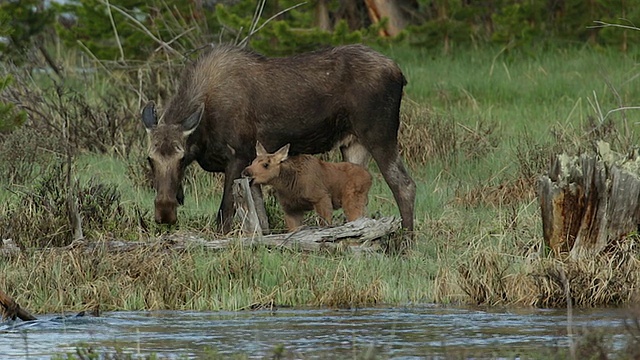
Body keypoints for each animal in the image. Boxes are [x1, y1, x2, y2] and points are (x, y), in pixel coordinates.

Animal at [245, 142, 376, 232]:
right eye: (253, 161)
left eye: (266, 164)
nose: (245, 172)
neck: (289, 185)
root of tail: (370, 177)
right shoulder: (291, 208)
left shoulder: (322, 198)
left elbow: (326, 224)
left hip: (352, 201)